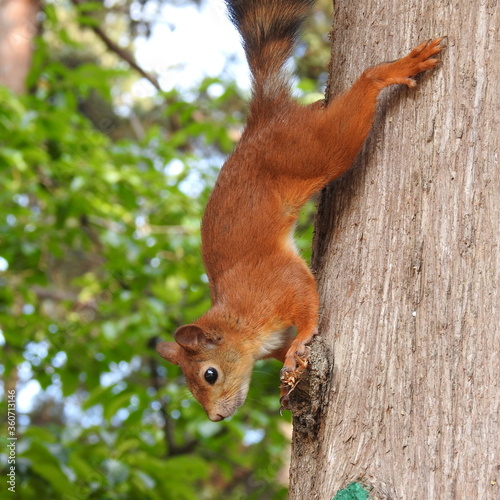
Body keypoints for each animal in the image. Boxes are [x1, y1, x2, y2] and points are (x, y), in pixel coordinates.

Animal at [158, 0, 444, 422]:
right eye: (190, 385)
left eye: (210, 374)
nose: (216, 417)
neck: (238, 320)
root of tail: (261, 119)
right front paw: (287, 369)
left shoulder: (276, 283)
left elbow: (306, 302)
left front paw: (303, 342)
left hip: (312, 150)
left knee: (358, 97)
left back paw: (394, 69)